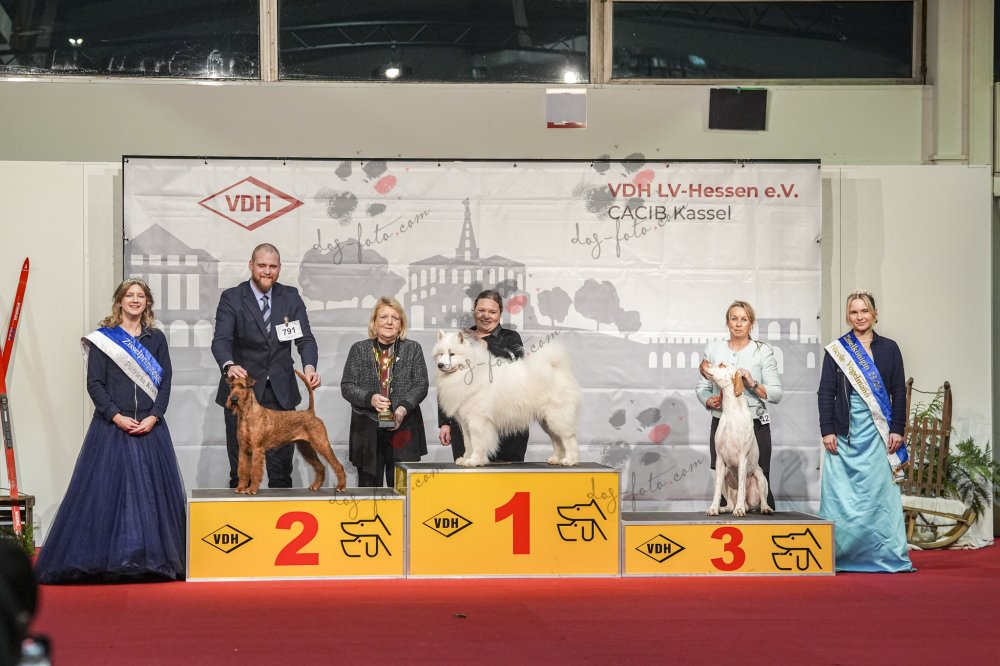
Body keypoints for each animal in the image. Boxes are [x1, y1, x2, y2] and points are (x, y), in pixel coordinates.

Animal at [432, 329, 581, 467]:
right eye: (441, 354)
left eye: (452, 354)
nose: (440, 365)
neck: (468, 372)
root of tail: (556, 367)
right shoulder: (465, 422)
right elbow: (468, 443)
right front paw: (465, 459)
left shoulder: (477, 421)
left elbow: (477, 443)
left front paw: (474, 461)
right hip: (547, 422)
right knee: (557, 440)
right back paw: (555, 459)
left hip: (557, 417)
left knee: (569, 439)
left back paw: (570, 460)